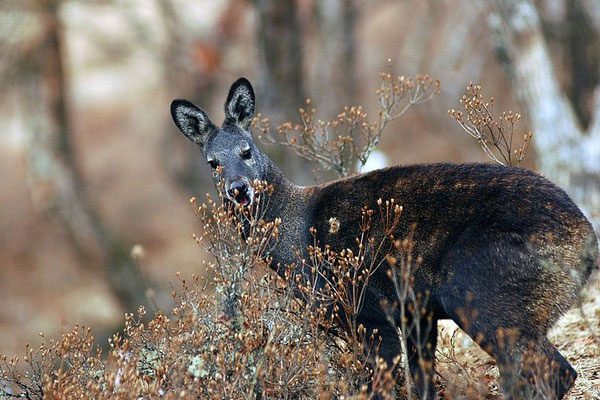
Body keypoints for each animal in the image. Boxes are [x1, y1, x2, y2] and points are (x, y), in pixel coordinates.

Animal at [171, 78, 596, 400]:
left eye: (246, 150)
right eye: (213, 162)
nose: (238, 189)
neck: (297, 241)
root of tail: (586, 244)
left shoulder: (371, 311)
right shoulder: (417, 312)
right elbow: (423, 385)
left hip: (481, 291)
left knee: (553, 370)